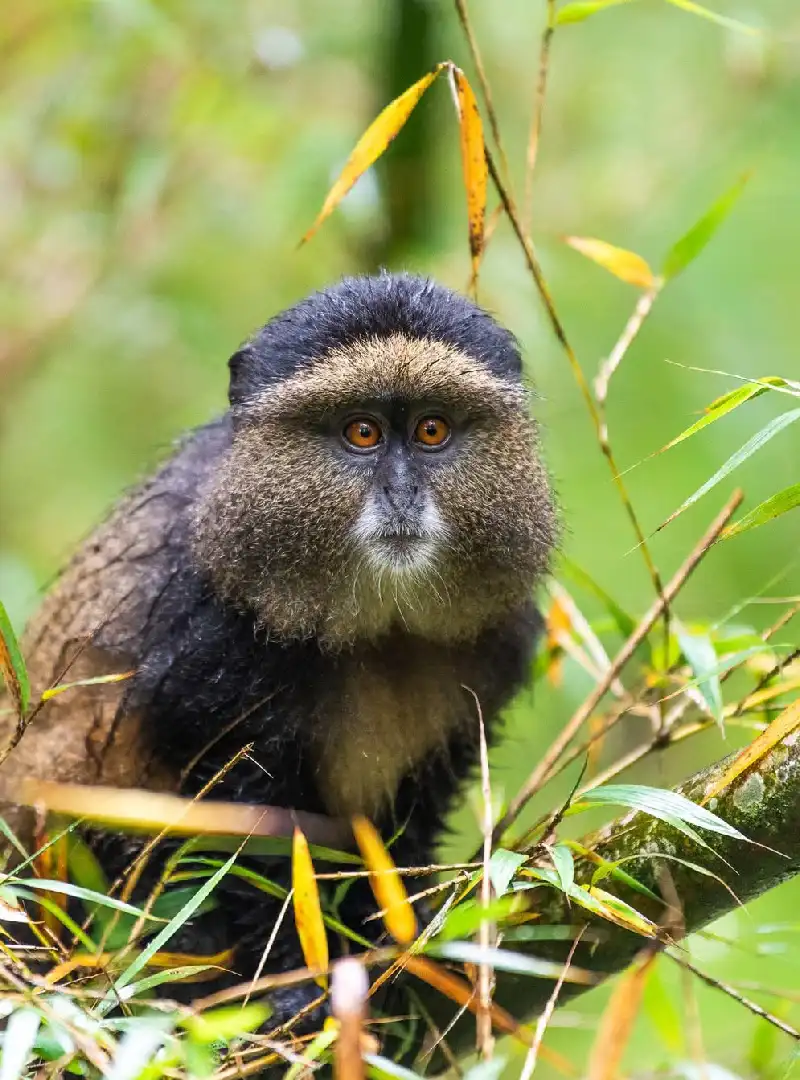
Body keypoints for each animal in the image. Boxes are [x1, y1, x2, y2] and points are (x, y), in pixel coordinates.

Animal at [0, 272, 556, 1046]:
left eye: (432, 431)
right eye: (361, 432)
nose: (402, 494)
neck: (377, 625)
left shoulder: (494, 642)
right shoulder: (206, 640)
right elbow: (246, 839)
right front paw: (294, 984)